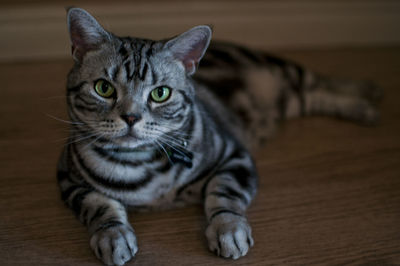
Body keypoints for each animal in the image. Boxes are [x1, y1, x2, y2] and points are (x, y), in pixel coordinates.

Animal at [57, 7, 382, 264]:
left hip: (286, 73)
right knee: (315, 95)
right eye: (103, 88)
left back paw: (366, 98)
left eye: (160, 94)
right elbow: (100, 205)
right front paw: (113, 237)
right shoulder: (69, 179)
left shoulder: (235, 158)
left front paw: (228, 231)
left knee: (322, 83)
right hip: (291, 100)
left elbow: (223, 193)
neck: (142, 164)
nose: (131, 117)